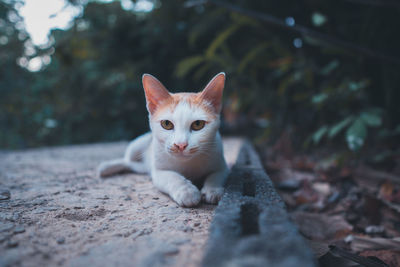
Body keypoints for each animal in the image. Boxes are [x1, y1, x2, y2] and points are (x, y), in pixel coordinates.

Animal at [97, 73, 228, 207]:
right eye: (166, 124)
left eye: (198, 124)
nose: (180, 145)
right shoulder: (158, 171)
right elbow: (172, 177)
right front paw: (186, 191)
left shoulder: (221, 162)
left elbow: (216, 175)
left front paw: (213, 189)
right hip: (138, 144)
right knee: (128, 160)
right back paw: (107, 167)